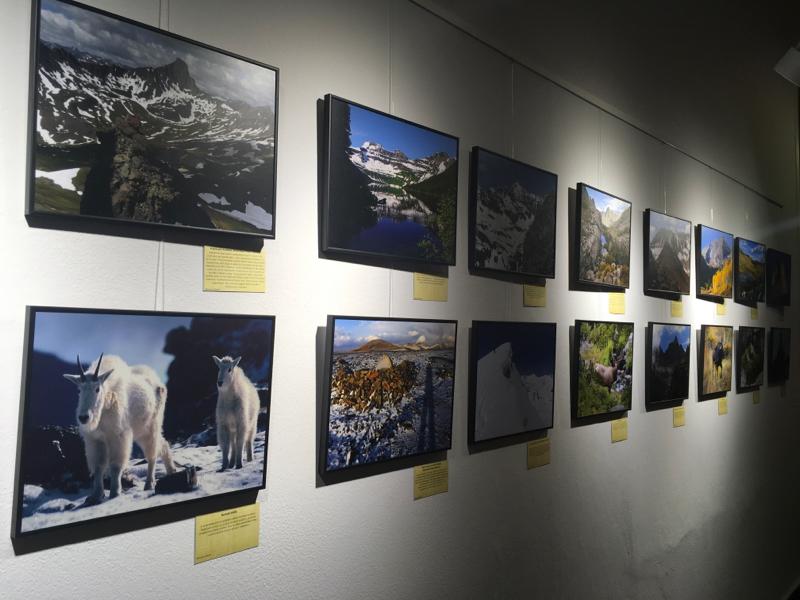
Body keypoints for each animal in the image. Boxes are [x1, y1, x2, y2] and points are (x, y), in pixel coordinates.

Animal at [63, 354, 177, 504]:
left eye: (97, 389)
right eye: (78, 390)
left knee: (152, 453)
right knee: (162, 443)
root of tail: (158, 381)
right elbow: (98, 466)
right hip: (141, 430)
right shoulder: (95, 440)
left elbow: (115, 465)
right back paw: (171, 470)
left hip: (152, 425)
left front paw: (115, 492)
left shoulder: (118, 436)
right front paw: (95, 495)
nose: (83, 418)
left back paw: (149, 483)